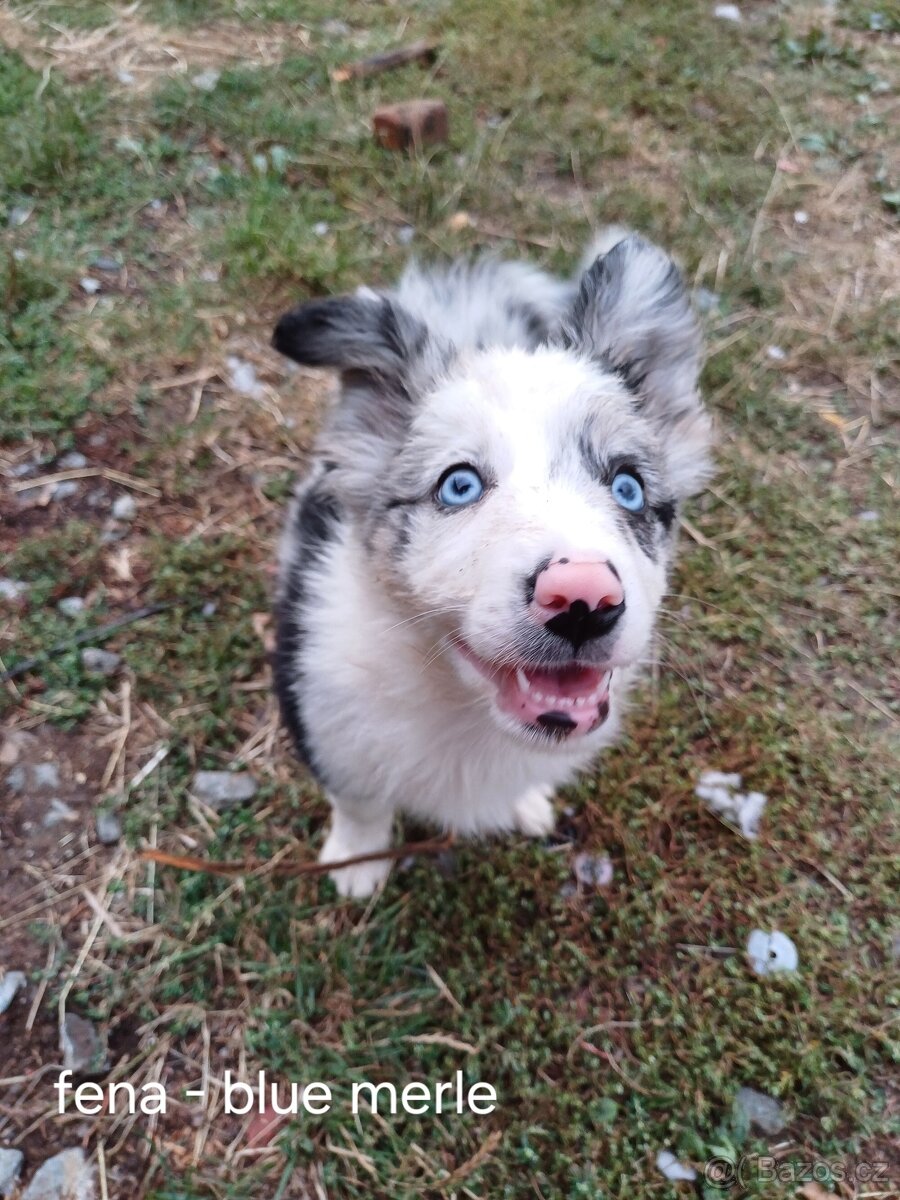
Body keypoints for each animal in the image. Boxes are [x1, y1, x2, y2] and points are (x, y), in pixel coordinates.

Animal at [271, 229, 715, 897]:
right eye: (458, 485)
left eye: (628, 487)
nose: (583, 599)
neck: (462, 707)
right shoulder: (321, 709)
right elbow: (360, 798)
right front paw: (357, 863)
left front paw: (525, 800)